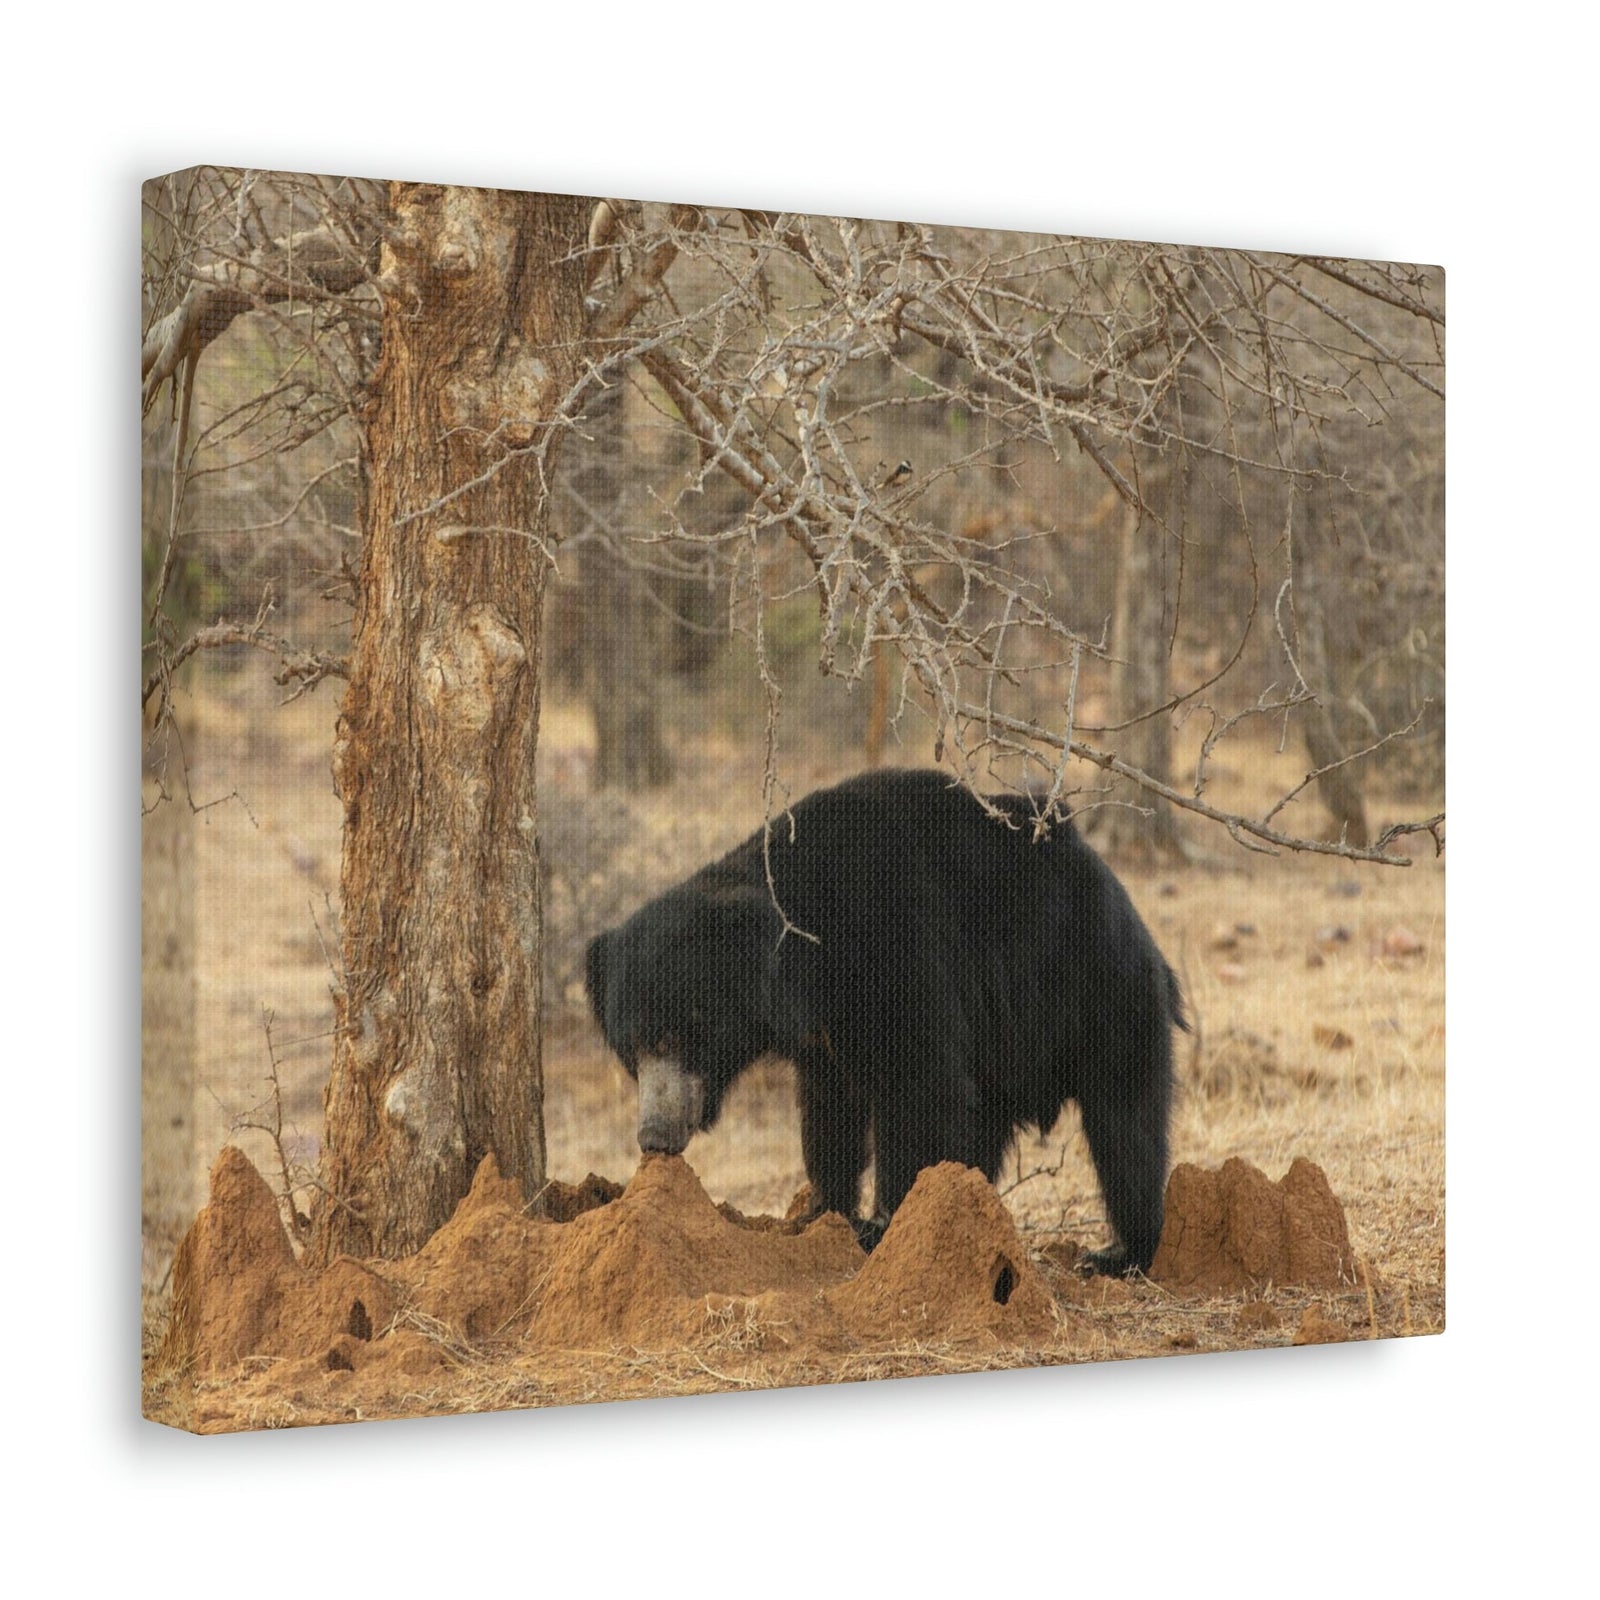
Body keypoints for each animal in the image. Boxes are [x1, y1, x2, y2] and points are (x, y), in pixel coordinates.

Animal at [584, 768, 1186, 1275]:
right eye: (631, 1050)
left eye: (678, 1035)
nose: (655, 1137)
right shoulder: (822, 1032)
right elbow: (830, 1108)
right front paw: (821, 1212)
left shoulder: (896, 949)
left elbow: (920, 1085)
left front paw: (886, 1226)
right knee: (991, 1119)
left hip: (1095, 991)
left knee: (1125, 1121)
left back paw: (1118, 1253)